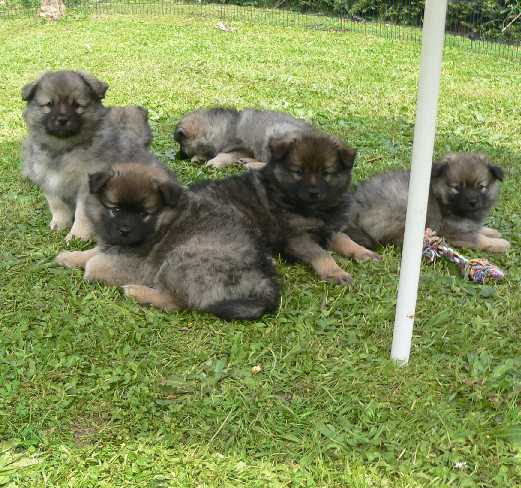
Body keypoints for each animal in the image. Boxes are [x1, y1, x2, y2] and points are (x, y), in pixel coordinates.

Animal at [21, 70, 151, 240]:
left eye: (77, 105)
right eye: (49, 104)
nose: (62, 119)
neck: (64, 148)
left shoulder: (86, 186)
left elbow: (82, 213)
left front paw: (78, 236)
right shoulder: (47, 179)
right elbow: (56, 204)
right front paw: (60, 223)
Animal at [55, 162, 280, 320]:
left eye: (144, 214)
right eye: (115, 210)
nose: (125, 230)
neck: (161, 221)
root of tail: (263, 277)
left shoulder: (135, 265)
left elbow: (93, 263)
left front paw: (87, 268)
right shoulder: (112, 245)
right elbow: (91, 253)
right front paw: (68, 257)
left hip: (181, 259)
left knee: (176, 303)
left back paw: (136, 292)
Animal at [173, 107, 310, 169]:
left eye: (181, 145)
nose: (177, 156)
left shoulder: (242, 148)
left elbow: (225, 155)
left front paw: (214, 162)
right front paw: (199, 158)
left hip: (273, 135)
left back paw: (251, 165)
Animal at [344, 152, 510, 252]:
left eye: (481, 187)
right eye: (456, 188)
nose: (472, 202)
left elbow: (479, 229)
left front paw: (492, 231)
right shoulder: (456, 233)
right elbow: (480, 239)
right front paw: (501, 244)